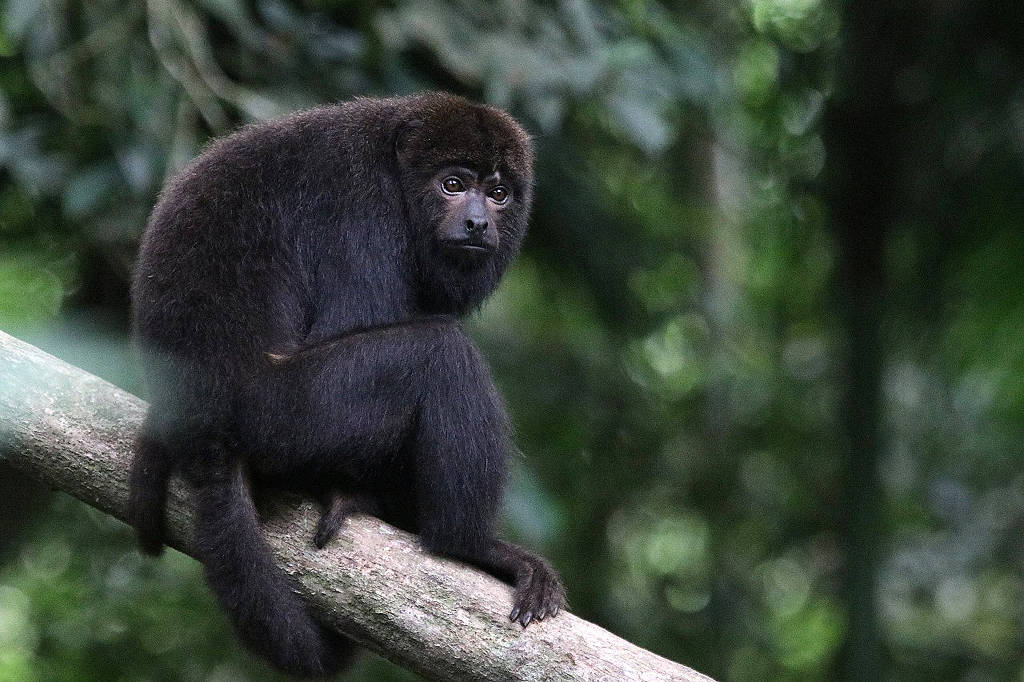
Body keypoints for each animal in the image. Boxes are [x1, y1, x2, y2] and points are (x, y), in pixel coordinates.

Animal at [128, 94, 569, 675]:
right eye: (453, 184)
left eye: (498, 194)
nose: (477, 222)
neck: (397, 170)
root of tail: (205, 430)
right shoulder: (361, 211)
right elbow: (358, 318)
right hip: (286, 415)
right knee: (444, 356)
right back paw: (467, 545)